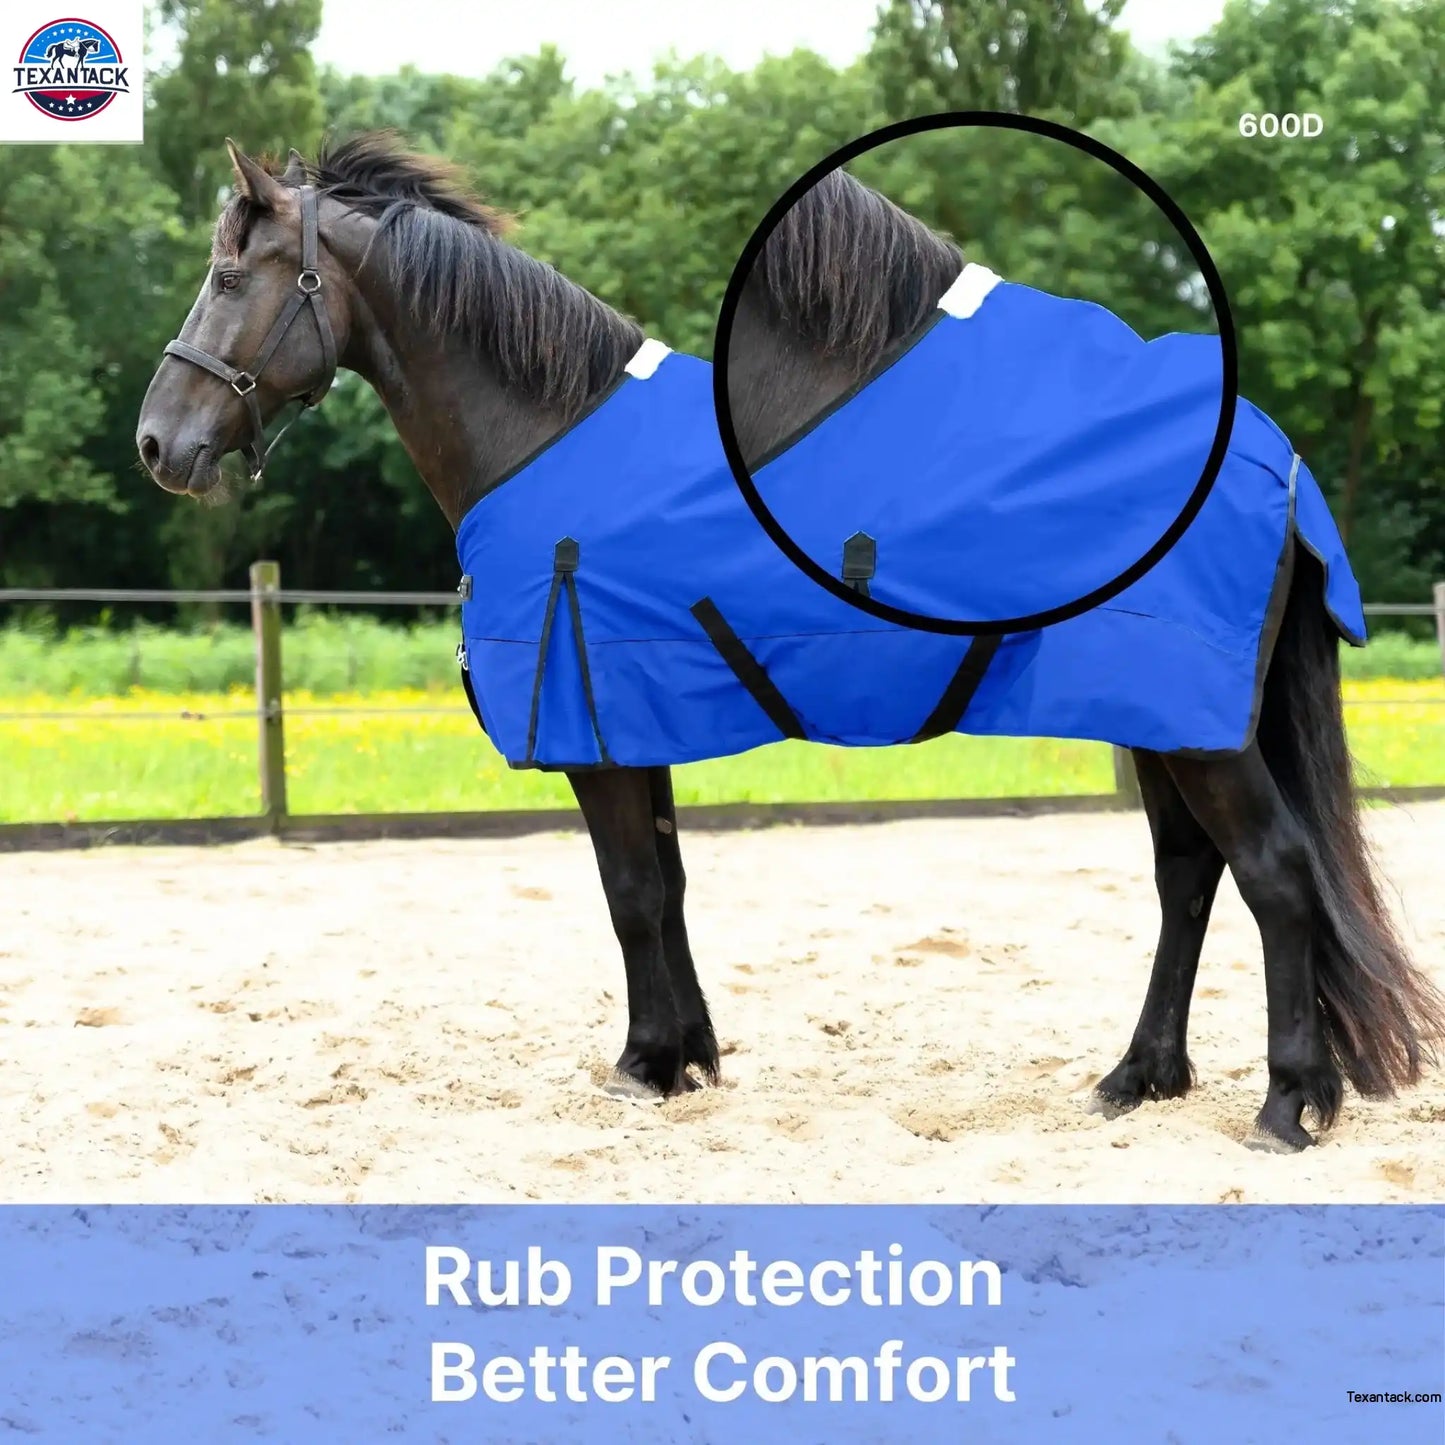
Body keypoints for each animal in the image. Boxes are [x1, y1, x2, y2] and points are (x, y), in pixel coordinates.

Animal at [136, 133, 1444, 1152]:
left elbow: (626, 892)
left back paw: (1286, 1105)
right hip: (1162, 719)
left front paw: (643, 1065)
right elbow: (663, 885)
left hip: (1192, 724)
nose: (158, 443)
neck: (547, 434)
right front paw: (687, 1056)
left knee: (1272, 872)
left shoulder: (596, 734)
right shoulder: (635, 723)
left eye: (227, 273)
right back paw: (1135, 1079)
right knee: (1188, 876)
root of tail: (1268, 456)